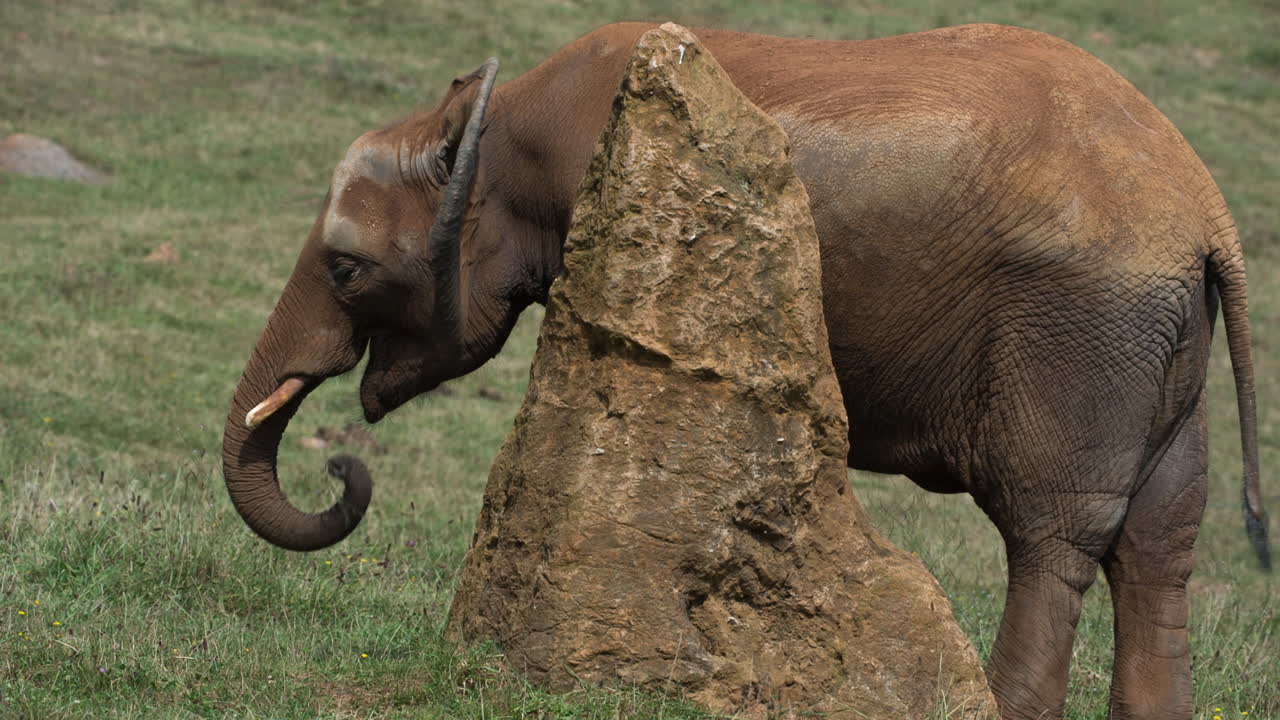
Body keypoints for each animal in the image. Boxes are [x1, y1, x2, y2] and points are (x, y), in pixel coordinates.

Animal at [222, 22, 1269, 720]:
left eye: (347, 269)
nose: (343, 466)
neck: (499, 112)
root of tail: (1206, 214)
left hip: (1081, 334)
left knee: (1052, 536)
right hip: (1161, 350)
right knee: (1160, 544)